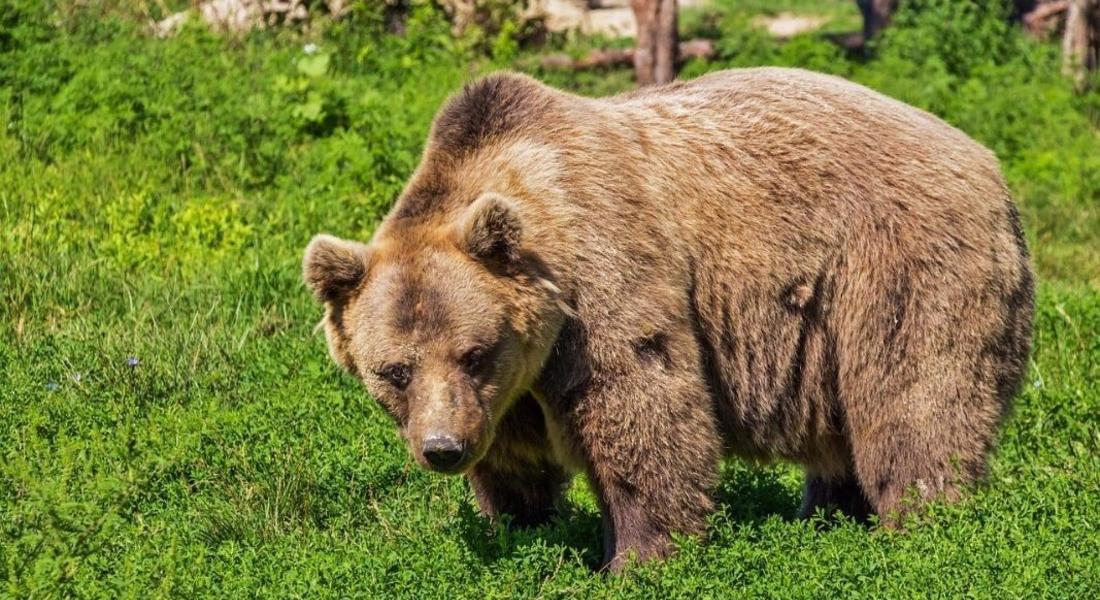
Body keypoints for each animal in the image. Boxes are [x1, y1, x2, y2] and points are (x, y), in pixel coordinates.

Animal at [301, 67, 1029, 568]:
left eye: (474, 353)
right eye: (393, 371)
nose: (443, 448)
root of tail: (988, 161)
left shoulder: (603, 280)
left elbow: (641, 406)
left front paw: (637, 556)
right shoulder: (509, 390)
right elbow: (514, 459)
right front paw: (522, 528)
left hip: (896, 266)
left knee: (915, 400)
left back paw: (924, 524)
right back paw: (827, 517)